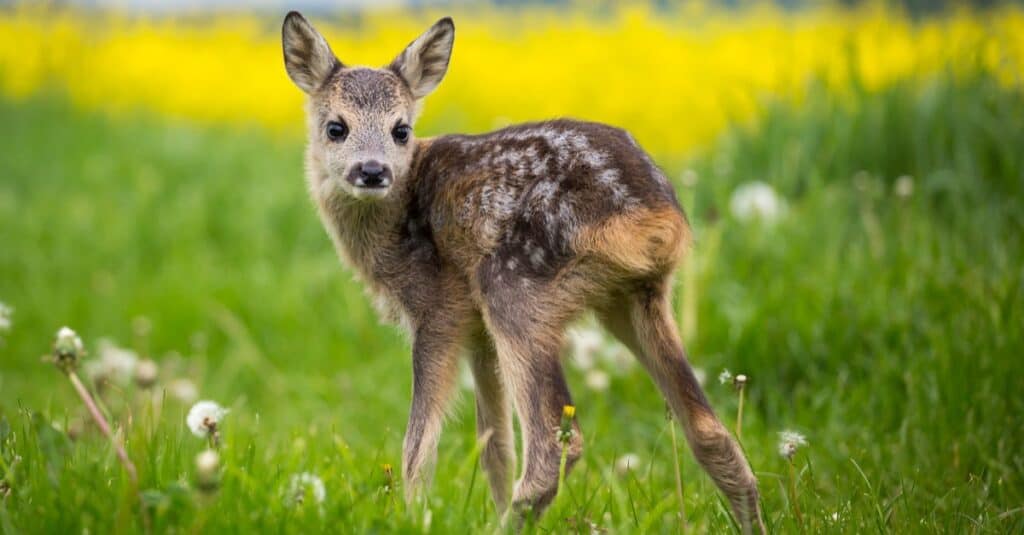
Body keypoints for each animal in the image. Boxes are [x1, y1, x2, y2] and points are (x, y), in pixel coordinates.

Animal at [281, 12, 765, 532]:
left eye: (401, 131)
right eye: (336, 127)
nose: (372, 171)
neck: (396, 221)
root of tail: (650, 216)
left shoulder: (437, 307)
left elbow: (419, 445)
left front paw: (413, 516)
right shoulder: (476, 331)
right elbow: (494, 445)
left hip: (514, 287)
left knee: (555, 441)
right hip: (637, 298)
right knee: (710, 431)